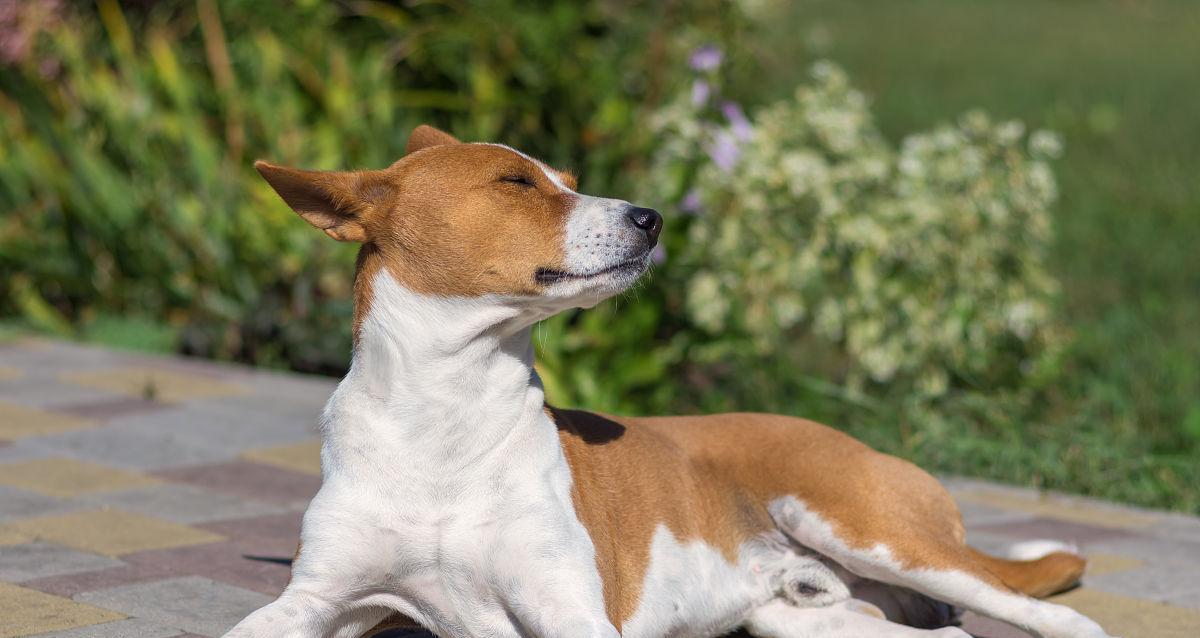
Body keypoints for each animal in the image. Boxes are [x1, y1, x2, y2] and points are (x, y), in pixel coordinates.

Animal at [226, 125, 1113, 638]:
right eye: (517, 183)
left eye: (567, 176)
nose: (652, 217)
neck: (443, 416)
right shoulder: (322, 599)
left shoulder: (572, 614)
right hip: (809, 620)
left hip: (868, 529)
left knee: (1045, 612)